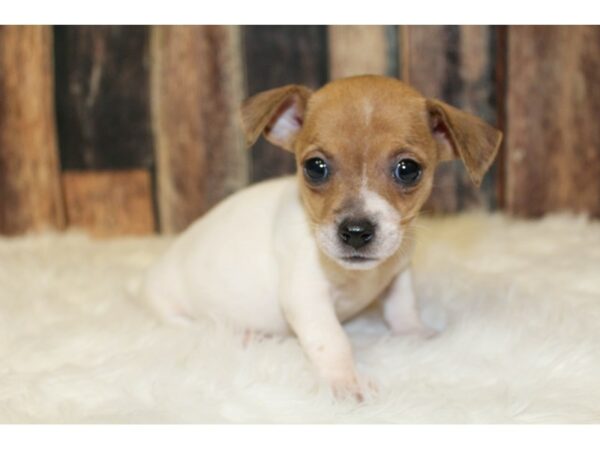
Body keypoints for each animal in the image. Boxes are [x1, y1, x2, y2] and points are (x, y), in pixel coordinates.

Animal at [143, 74, 504, 400]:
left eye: (408, 169)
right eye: (315, 167)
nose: (356, 232)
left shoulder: (399, 272)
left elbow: (403, 306)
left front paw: (415, 333)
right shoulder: (307, 297)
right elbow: (332, 341)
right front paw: (346, 381)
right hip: (175, 312)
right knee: (198, 328)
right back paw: (246, 337)